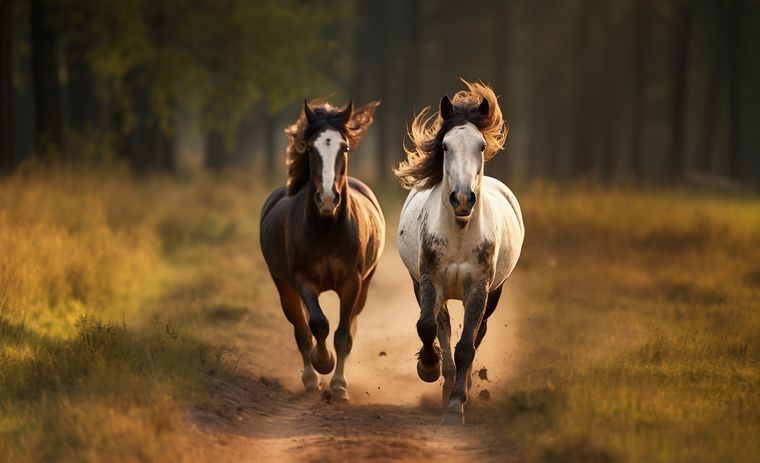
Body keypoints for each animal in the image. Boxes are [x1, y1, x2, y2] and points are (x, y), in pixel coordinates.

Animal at [259, 99, 385, 403]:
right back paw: (310, 377)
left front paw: (339, 386)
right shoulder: (302, 280)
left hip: (365, 286)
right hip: (283, 285)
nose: (327, 199)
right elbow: (318, 324)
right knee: (300, 328)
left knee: (349, 326)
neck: (328, 228)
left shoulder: (353, 282)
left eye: (345, 147)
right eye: (309, 147)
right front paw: (322, 361)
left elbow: (342, 334)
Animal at [394, 81, 524, 425]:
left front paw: (456, 407)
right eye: (444, 146)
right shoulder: (430, 281)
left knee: (476, 335)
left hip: (494, 292)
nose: (463, 199)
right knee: (442, 327)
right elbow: (427, 326)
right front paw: (428, 368)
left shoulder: (479, 289)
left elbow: (467, 346)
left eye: (480, 145)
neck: (460, 233)